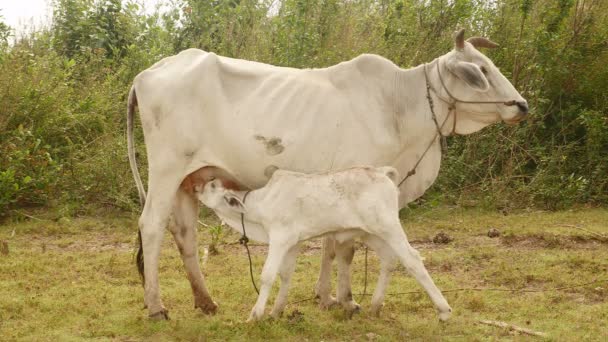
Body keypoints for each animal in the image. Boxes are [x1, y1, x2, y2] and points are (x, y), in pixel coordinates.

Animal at [195, 167, 452, 322]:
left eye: (212, 186)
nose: (196, 187)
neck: (261, 205)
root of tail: (382, 172)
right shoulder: (292, 243)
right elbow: (285, 275)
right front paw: (276, 311)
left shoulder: (279, 238)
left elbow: (267, 275)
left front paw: (255, 315)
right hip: (372, 233)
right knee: (389, 259)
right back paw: (375, 305)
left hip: (389, 227)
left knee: (412, 259)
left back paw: (444, 311)